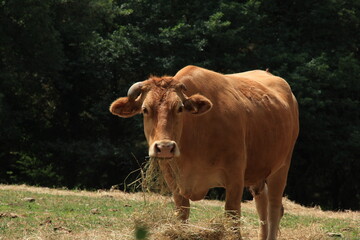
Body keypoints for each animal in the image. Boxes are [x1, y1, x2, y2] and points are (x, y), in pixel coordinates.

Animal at [109, 65, 298, 240]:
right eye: (145, 109)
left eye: (179, 108)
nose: (165, 147)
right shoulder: (174, 180)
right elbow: (182, 215)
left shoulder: (235, 177)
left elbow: (232, 218)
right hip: (258, 171)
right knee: (262, 205)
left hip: (281, 167)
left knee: (274, 208)